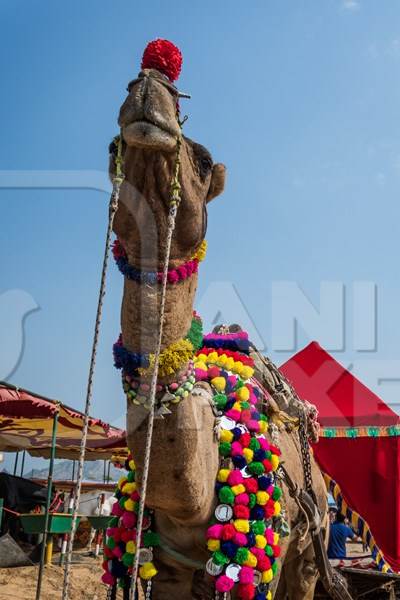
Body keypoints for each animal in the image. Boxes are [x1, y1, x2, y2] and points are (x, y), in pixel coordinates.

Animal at [106, 42, 328, 600]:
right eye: (112, 149)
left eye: (204, 161)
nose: (149, 81)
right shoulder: (161, 566)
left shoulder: (268, 558)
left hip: (308, 548)